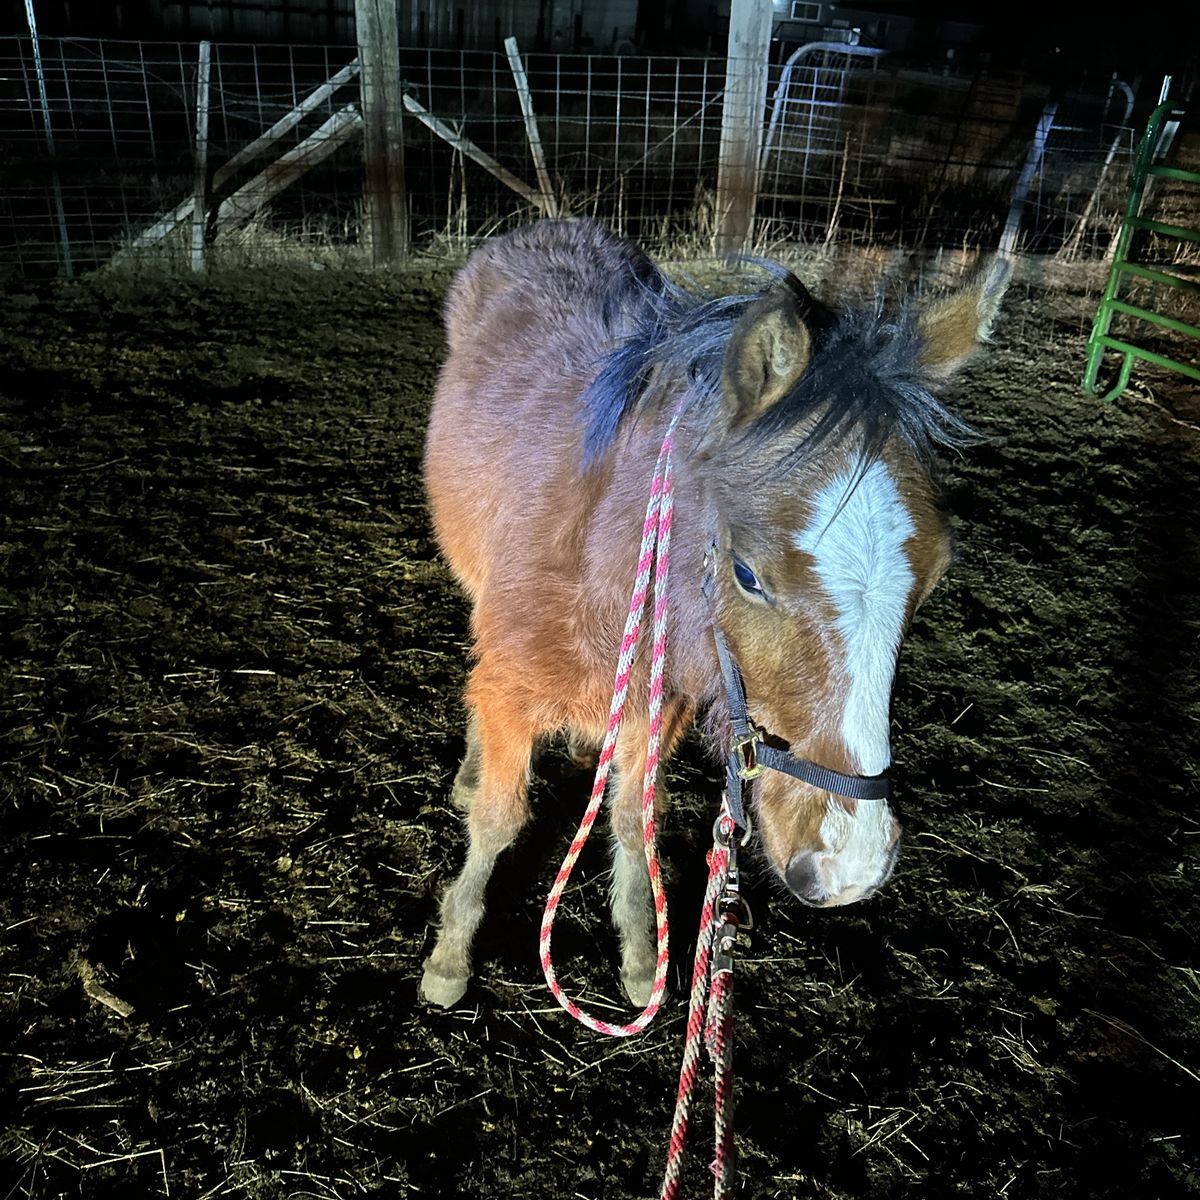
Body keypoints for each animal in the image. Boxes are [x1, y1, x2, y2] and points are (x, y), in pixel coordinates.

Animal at [420, 219, 1009, 1009]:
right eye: (747, 574)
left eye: (936, 574)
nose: (848, 860)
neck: (601, 560)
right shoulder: (512, 697)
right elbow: (496, 820)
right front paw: (451, 957)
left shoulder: (657, 706)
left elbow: (632, 822)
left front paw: (642, 958)